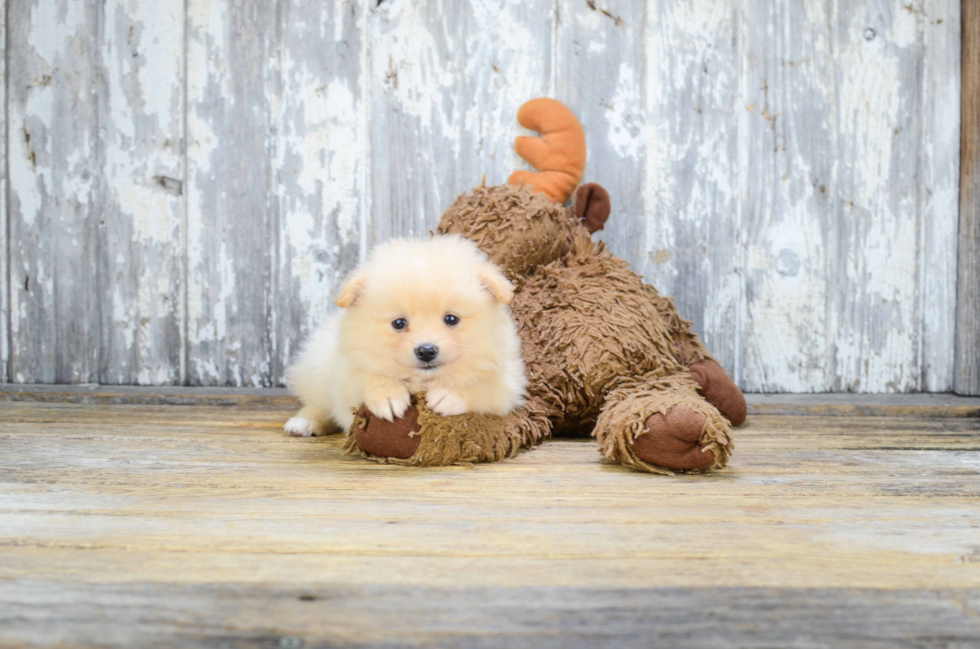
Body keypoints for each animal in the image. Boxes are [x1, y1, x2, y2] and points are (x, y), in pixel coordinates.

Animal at [282, 233, 524, 436]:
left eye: (451, 319)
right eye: (399, 323)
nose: (426, 351)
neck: (421, 381)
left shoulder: (508, 381)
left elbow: (485, 387)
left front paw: (449, 394)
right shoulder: (345, 376)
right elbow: (365, 377)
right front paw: (387, 394)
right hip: (317, 369)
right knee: (317, 404)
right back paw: (303, 423)